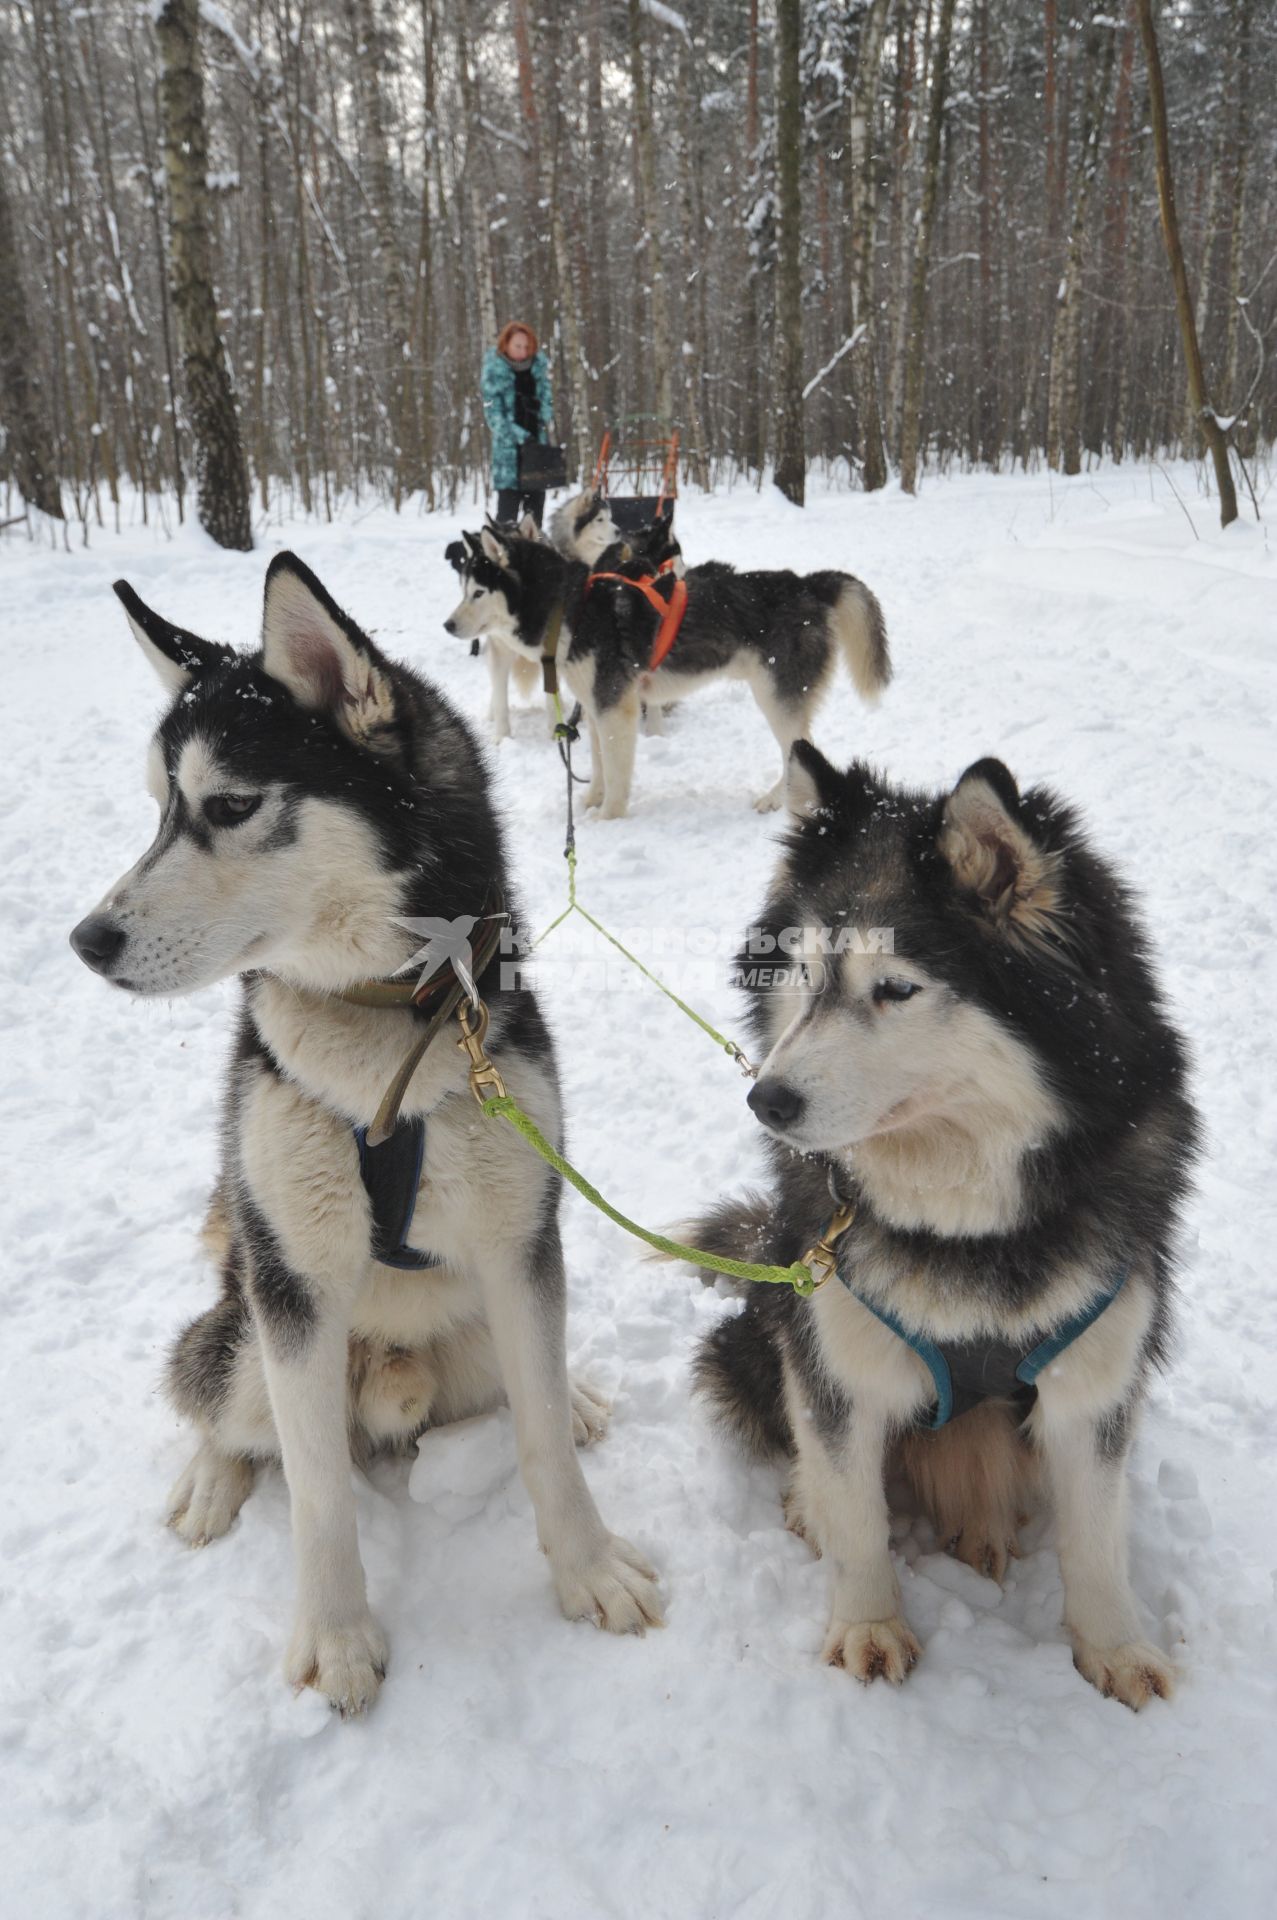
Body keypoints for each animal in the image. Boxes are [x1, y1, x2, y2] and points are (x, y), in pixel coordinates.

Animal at [69, 552, 660, 1712]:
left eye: (230, 805)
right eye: (158, 812)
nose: (86, 940)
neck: (382, 1046)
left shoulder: (521, 1245)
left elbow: (542, 1451)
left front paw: (586, 1568)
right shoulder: (293, 1285)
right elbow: (317, 1493)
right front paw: (337, 1639)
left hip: (475, 1327)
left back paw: (572, 1396)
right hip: (248, 1329)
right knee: (221, 1402)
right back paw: (207, 1479)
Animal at [437, 529, 887, 821]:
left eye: (478, 592)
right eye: (462, 589)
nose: (447, 624)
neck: (572, 609)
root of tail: (806, 584)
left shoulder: (615, 710)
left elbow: (616, 772)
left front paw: (609, 816)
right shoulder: (597, 709)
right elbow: (599, 765)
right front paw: (592, 801)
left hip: (774, 697)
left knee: (799, 745)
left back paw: (776, 800)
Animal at [687, 748, 1198, 1712]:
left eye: (895, 989)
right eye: (805, 976)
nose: (765, 1100)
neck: (965, 1224)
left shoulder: (1095, 1372)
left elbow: (1096, 1539)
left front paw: (1111, 1648)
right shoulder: (836, 1353)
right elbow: (856, 1514)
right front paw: (867, 1626)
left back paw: (986, 1531)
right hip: (766, 1321)